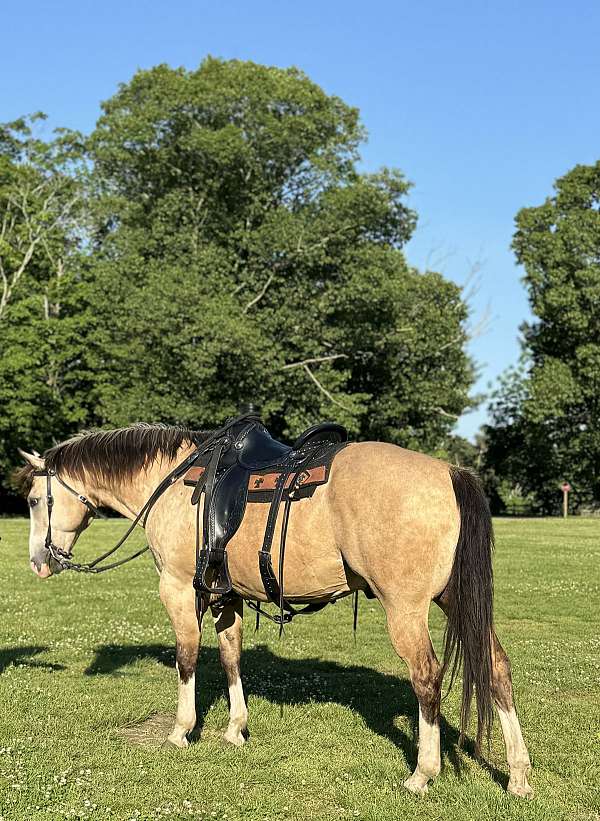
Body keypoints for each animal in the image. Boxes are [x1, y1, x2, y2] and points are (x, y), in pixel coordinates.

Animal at [16, 423, 533, 799]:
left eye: (34, 500)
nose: (39, 562)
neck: (174, 482)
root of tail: (448, 472)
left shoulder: (178, 588)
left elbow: (187, 657)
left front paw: (182, 730)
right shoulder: (227, 595)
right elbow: (230, 657)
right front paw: (235, 729)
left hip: (404, 610)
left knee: (426, 677)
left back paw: (424, 772)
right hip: (455, 601)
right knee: (497, 669)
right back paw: (518, 774)